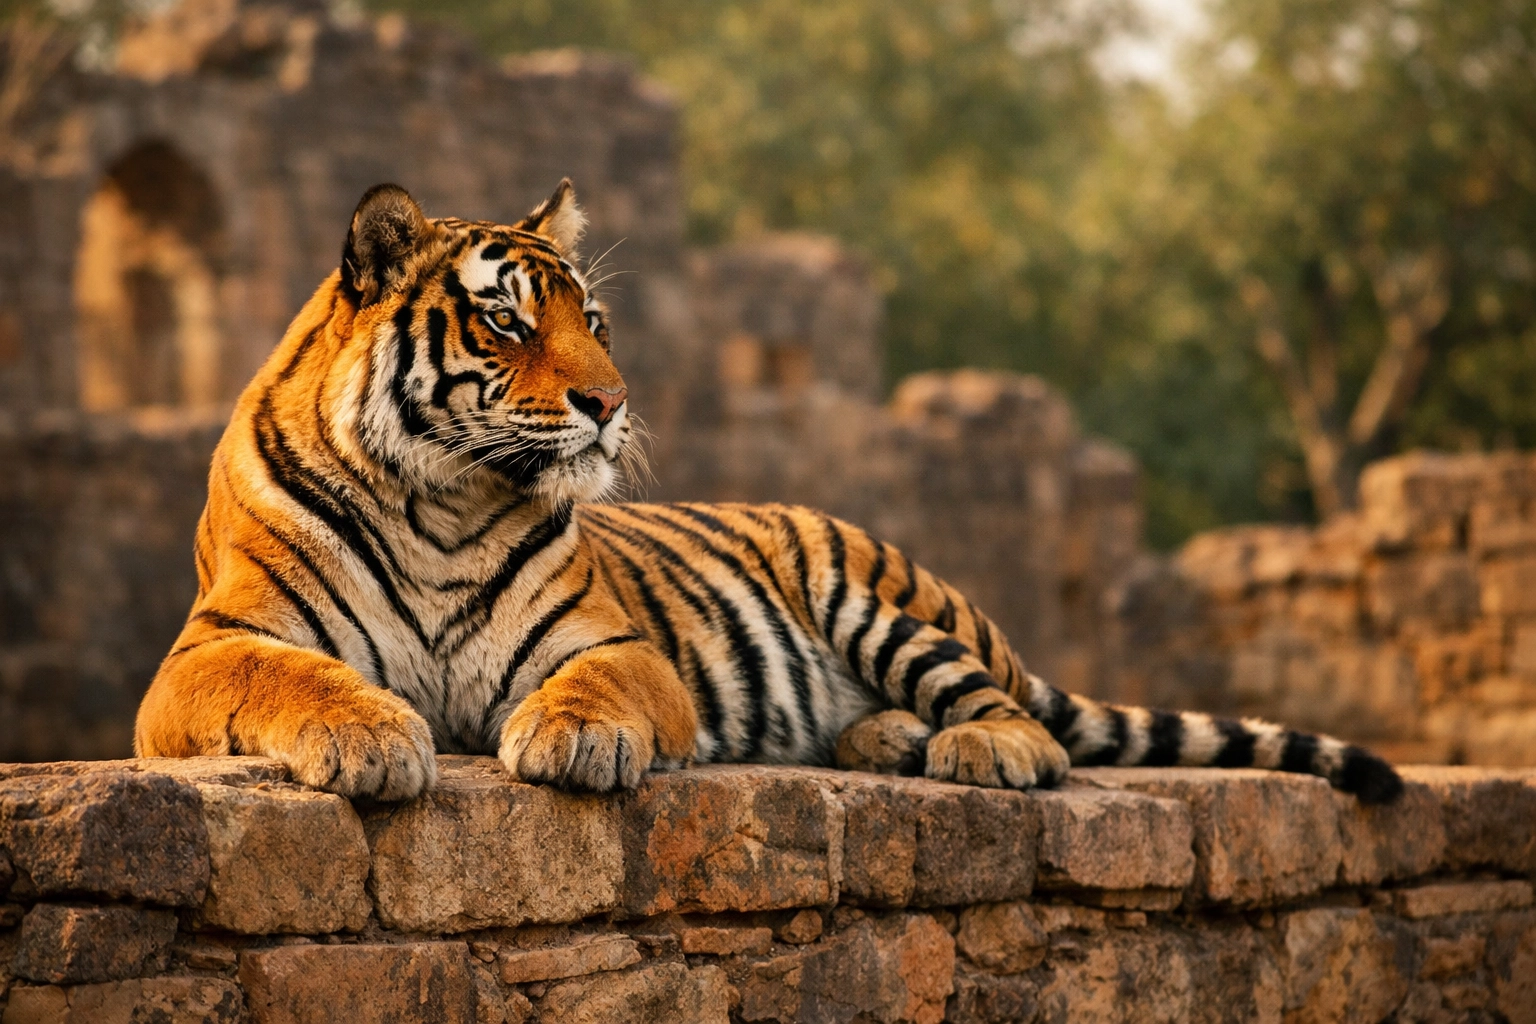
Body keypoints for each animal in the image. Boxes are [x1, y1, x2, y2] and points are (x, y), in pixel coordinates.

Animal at [133, 181, 1404, 806]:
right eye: (507, 320)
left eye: (594, 320)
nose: (611, 400)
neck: (441, 500)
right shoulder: (204, 653)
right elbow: (291, 675)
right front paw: (371, 736)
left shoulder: (611, 642)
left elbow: (593, 685)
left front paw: (570, 739)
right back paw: (886, 741)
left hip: (871, 598)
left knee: (1024, 720)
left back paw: (974, 751)